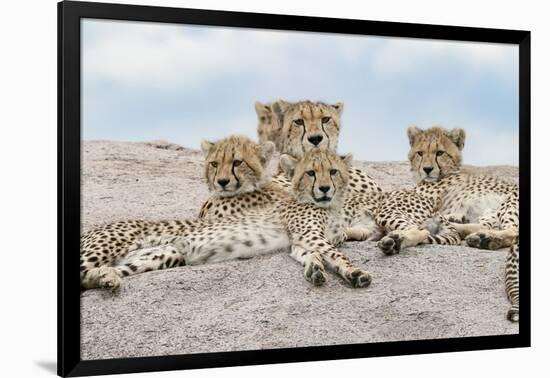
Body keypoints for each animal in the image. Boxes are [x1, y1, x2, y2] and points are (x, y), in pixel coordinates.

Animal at [80, 149, 374, 290]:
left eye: (333, 171)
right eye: (310, 173)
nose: (324, 188)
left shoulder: (301, 240)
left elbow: (310, 254)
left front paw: (315, 269)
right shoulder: (310, 235)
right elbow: (336, 253)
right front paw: (355, 272)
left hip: (163, 255)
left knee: (90, 278)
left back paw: (106, 278)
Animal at [406, 127, 520, 322]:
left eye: (439, 153)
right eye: (419, 153)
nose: (427, 169)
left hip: (510, 201)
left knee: (512, 230)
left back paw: (485, 239)